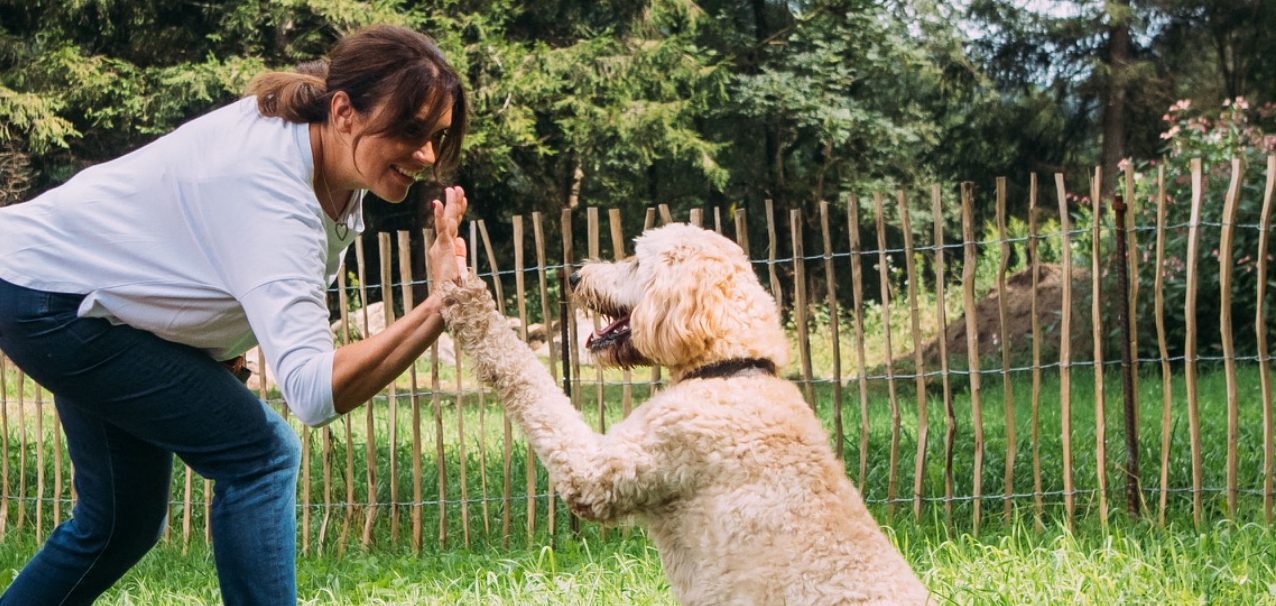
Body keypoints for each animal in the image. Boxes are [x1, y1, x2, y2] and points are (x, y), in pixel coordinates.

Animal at [438, 223, 929, 605]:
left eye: (637, 260)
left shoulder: (602, 472)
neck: (730, 368)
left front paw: (470, 303)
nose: (574, 275)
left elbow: (527, 377)